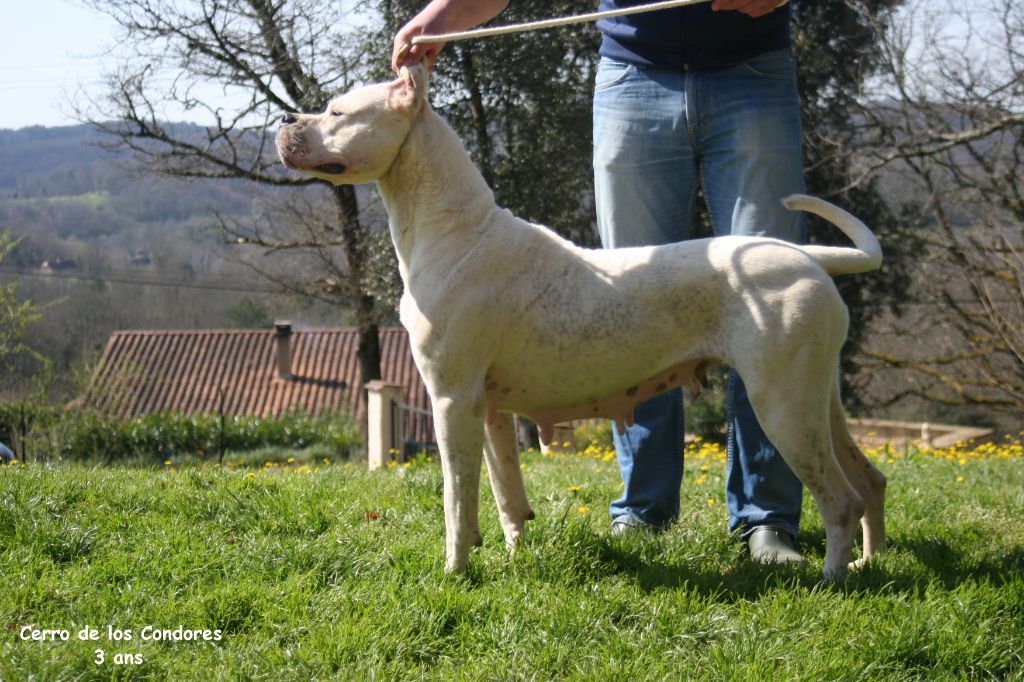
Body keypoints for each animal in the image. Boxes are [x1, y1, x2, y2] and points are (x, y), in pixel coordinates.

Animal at [278, 63, 888, 577]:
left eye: (337, 112)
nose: (285, 120)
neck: (455, 228)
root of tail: (806, 257)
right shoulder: (489, 409)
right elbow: (505, 494)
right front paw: (512, 554)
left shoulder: (451, 400)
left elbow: (456, 497)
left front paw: (454, 572)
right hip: (817, 401)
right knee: (870, 480)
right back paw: (868, 562)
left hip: (781, 405)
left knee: (840, 499)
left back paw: (833, 579)